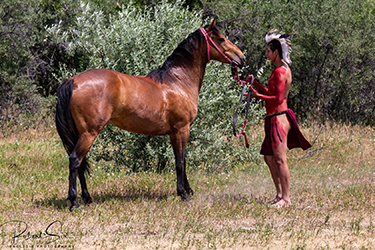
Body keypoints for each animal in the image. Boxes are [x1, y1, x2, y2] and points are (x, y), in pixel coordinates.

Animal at [55, 20, 244, 211]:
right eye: (221, 39)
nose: (241, 58)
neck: (177, 82)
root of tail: (73, 81)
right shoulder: (182, 130)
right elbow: (180, 162)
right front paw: (183, 194)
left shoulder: (174, 133)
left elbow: (182, 160)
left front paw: (188, 190)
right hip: (89, 132)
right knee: (75, 160)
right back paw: (75, 202)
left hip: (80, 133)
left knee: (80, 163)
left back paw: (87, 198)